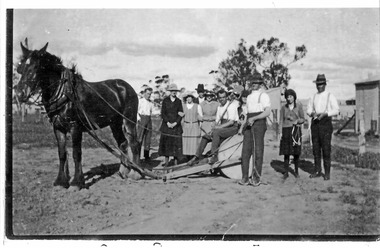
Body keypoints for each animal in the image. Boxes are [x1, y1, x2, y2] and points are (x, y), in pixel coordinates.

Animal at [15, 41, 144, 190]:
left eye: (37, 67)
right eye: (20, 68)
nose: (20, 94)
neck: (65, 93)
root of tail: (126, 87)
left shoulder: (75, 127)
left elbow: (76, 154)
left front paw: (77, 182)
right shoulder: (58, 127)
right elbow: (62, 153)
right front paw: (61, 181)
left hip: (129, 119)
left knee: (134, 143)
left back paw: (136, 173)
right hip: (115, 123)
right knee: (122, 143)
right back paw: (123, 171)